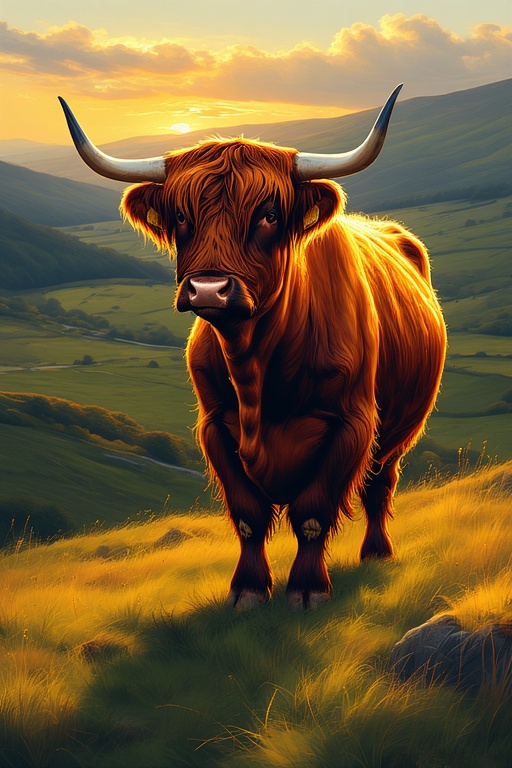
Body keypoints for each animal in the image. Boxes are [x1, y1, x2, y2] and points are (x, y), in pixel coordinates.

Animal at [59, 86, 447, 609]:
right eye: (181, 216)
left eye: (269, 214)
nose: (208, 289)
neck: (257, 367)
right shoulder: (214, 426)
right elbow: (247, 515)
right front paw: (247, 590)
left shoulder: (352, 423)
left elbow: (312, 512)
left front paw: (307, 590)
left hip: (400, 430)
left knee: (379, 485)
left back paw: (377, 554)